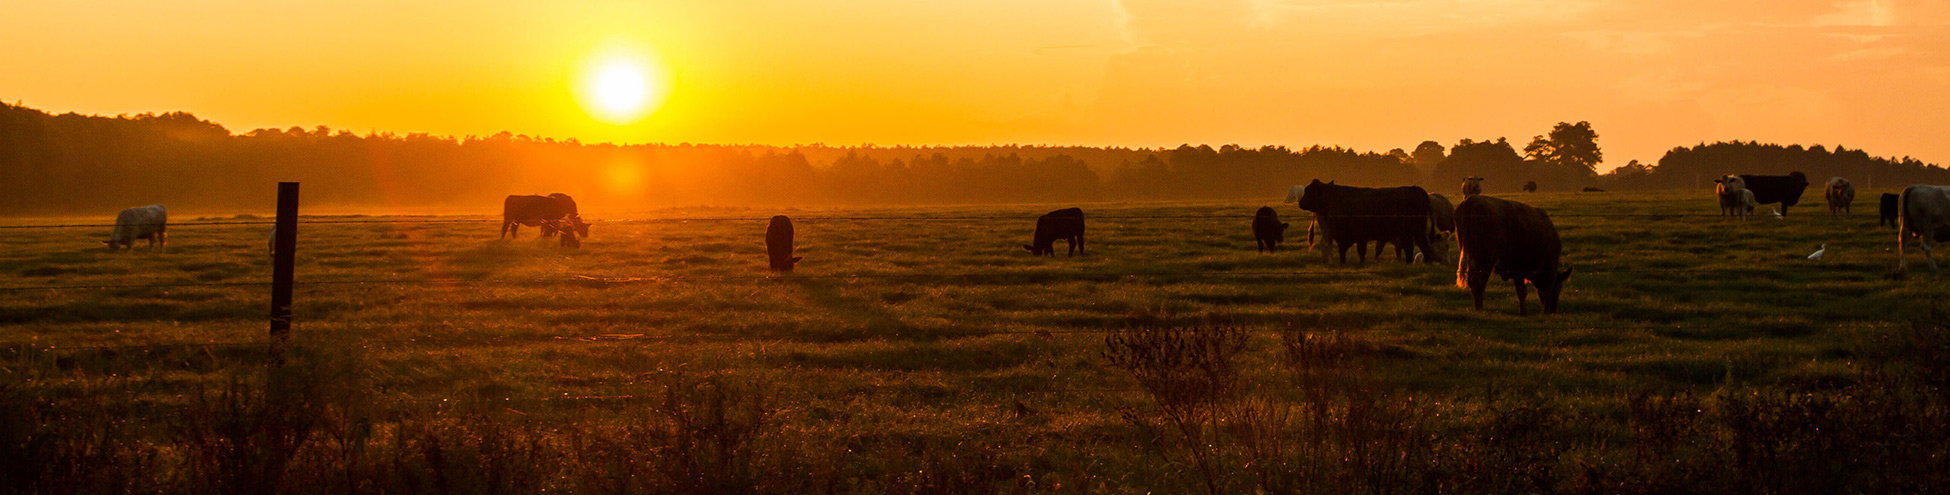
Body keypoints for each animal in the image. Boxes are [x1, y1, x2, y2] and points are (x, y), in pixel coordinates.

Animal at [1294, 180, 1435, 265]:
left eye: (1309, 191)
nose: (1300, 203)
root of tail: (1418, 190)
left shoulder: (1355, 235)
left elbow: (1357, 251)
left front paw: (1349, 263)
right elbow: (1351, 250)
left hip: (1410, 231)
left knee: (1414, 246)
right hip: (1416, 231)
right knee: (1418, 245)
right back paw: (1422, 262)